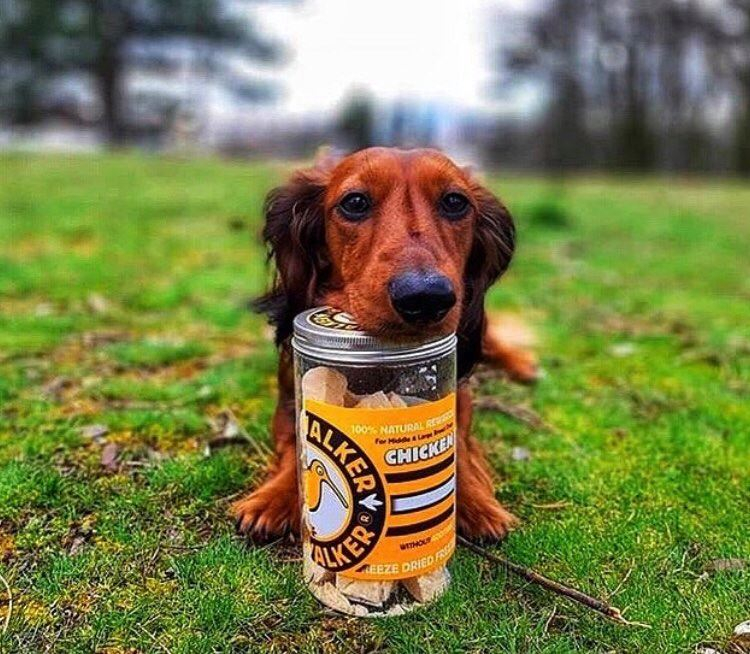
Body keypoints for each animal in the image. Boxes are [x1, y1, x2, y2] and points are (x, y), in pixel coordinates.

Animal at [238, 147, 536, 544]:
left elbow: (457, 444)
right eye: (355, 202)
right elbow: (296, 445)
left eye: (455, 202)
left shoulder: (457, 392)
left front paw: (477, 503)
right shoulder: (290, 397)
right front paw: (272, 498)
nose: (425, 297)